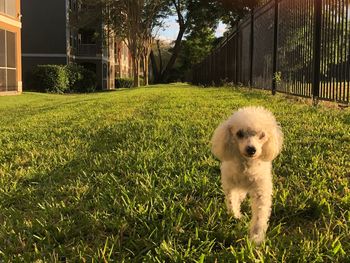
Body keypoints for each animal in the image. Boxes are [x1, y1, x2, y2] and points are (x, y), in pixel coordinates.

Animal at [209, 106, 284, 244]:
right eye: (239, 134)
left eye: (262, 135)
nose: (251, 149)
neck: (246, 166)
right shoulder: (230, 185)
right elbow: (231, 201)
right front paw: (236, 216)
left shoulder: (260, 190)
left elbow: (260, 214)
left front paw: (256, 237)